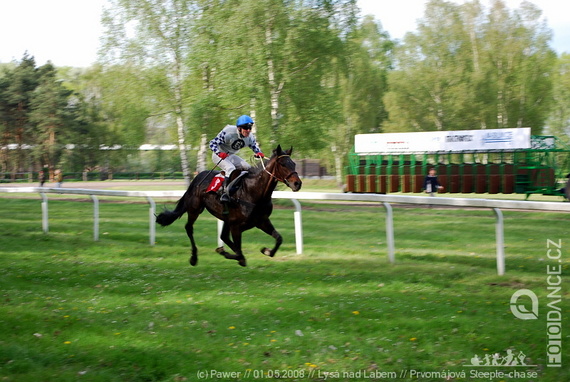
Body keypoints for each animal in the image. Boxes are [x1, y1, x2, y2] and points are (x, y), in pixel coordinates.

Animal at [153, 145, 300, 268]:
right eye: (282, 164)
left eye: (293, 164)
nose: (297, 183)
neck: (253, 191)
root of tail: (196, 178)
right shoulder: (236, 224)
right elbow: (239, 251)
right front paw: (229, 254)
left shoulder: (261, 221)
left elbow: (279, 238)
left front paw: (267, 251)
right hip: (195, 209)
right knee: (189, 228)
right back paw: (194, 257)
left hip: (224, 217)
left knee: (223, 236)